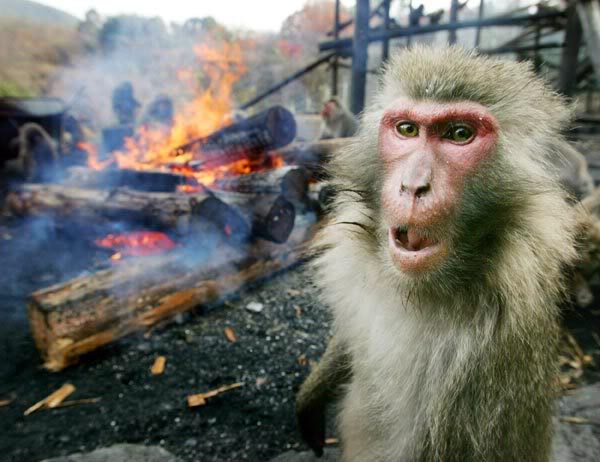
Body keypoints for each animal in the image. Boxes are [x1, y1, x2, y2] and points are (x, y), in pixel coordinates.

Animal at [298, 47, 580, 462]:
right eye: (407, 129)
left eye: (459, 134)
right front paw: (312, 395)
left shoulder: (479, 361)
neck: (417, 291)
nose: (414, 186)